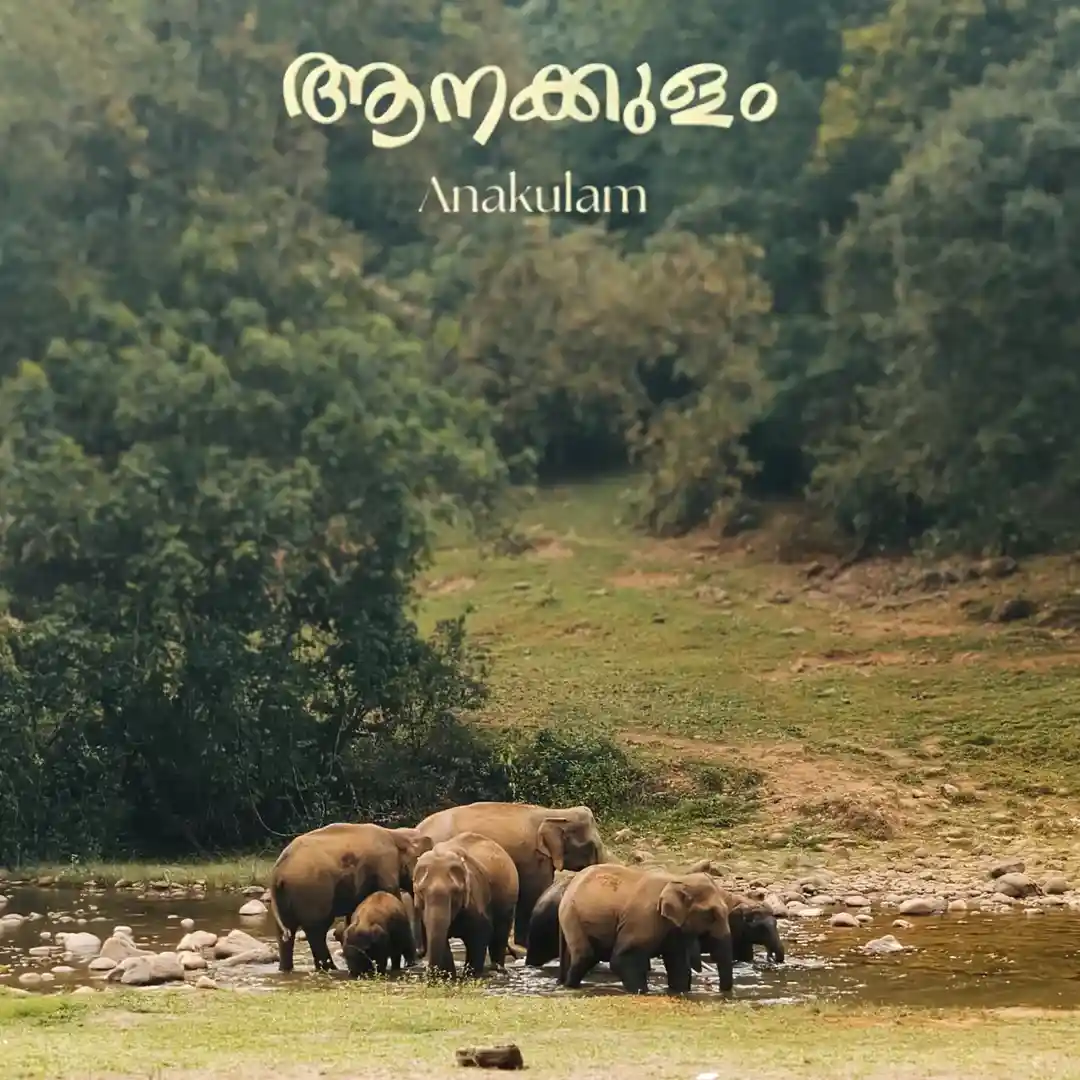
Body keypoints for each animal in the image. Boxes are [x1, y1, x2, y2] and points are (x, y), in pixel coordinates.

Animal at [269, 822, 433, 973]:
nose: (420, 954)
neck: (396, 834)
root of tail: (278, 871)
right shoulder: (385, 864)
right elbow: (391, 895)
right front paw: (411, 964)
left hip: (287, 895)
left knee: (286, 933)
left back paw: (287, 969)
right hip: (312, 889)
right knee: (317, 928)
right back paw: (331, 968)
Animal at [412, 831, 519, 978]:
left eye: (455, 892)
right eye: (420, 892)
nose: (429, 974)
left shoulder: (476, 895)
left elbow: (481, 933)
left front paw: (470, 976)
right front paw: (449, 977)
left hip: (508, 897)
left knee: (500, 934)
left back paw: (498, 970)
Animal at [557, 864, 735, 994]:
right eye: (710, 914)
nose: (721, 991)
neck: (676, 879)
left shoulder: (673, 928)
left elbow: (679, 965)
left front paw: (679, 991)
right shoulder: (643, 918)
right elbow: (621, 960)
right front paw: (643, 992)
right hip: (572, 916)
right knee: (585, 957)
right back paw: (570, 987)